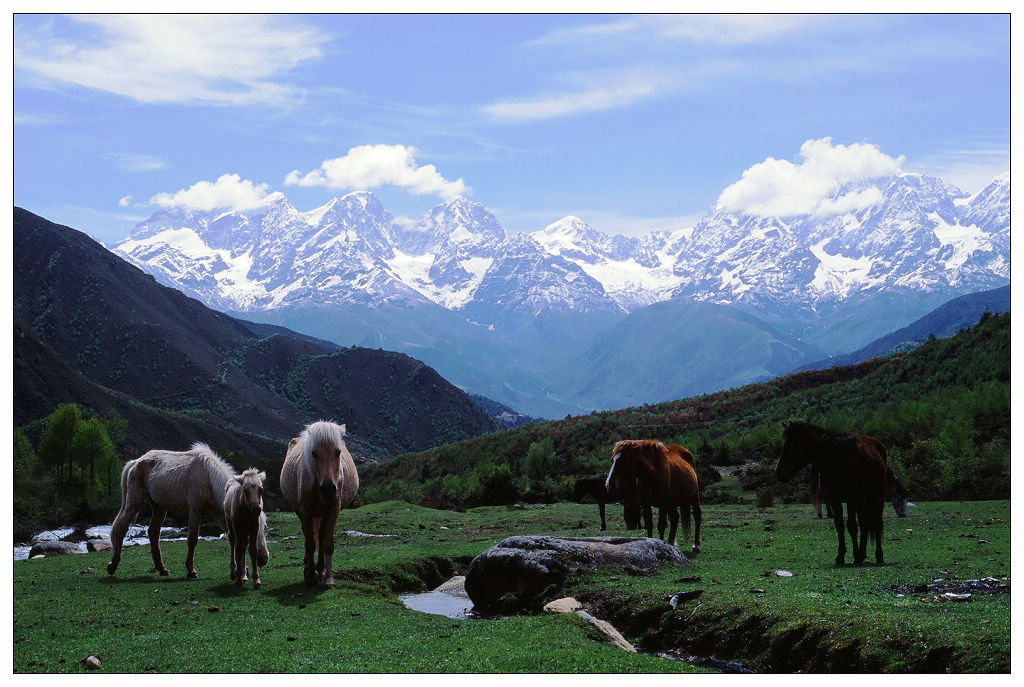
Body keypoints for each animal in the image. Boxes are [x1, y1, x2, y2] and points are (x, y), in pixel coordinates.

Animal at [105, 440, 268, 581]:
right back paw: (113, 565)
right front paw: (191, 571)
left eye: (263, 526)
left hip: (159, 506)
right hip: (134, 502)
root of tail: (136, 461)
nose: (263, 558)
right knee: (121, 527)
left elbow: (231, 539)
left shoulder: (222, 514)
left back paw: (162, 569)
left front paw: (240, 570)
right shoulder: (195, 511)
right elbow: (192, 539)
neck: (209, 478)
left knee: (153, 533)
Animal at [280, 421, 360, 589]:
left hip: (323, 514)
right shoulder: (306, 511)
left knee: (321, 538)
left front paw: (328, 578)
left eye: (338, 452)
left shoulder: (334, 510)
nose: (328, 489)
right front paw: (310, 576)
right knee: (309, 536)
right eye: (314, 453)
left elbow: (327, 543)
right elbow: (310, 543)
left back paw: (321, 569)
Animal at [774, 421, 888, 565]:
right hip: (861, 501)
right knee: (864, 523)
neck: (838, 460)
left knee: (877, 523)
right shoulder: (835, 499)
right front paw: (841, 556)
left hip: (876, 497)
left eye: (792, 444)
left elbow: (852, 526)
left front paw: (855, 555)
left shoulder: (851, 499)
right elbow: (839, 525)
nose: (778, 472)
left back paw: (878, 555)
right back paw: (863, 553)